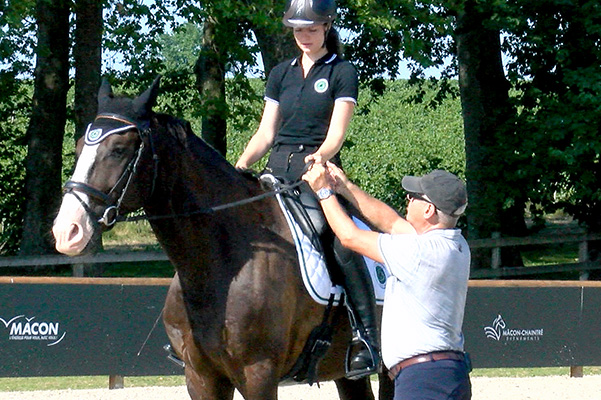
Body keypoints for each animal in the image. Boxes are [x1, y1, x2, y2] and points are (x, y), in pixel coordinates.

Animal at [52, 78, 394, 400]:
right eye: (80, 146)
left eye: (119, 150)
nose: (67, 231)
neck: (217, 264)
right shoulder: (201, 376)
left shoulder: (258, 374)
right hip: (343, 372)